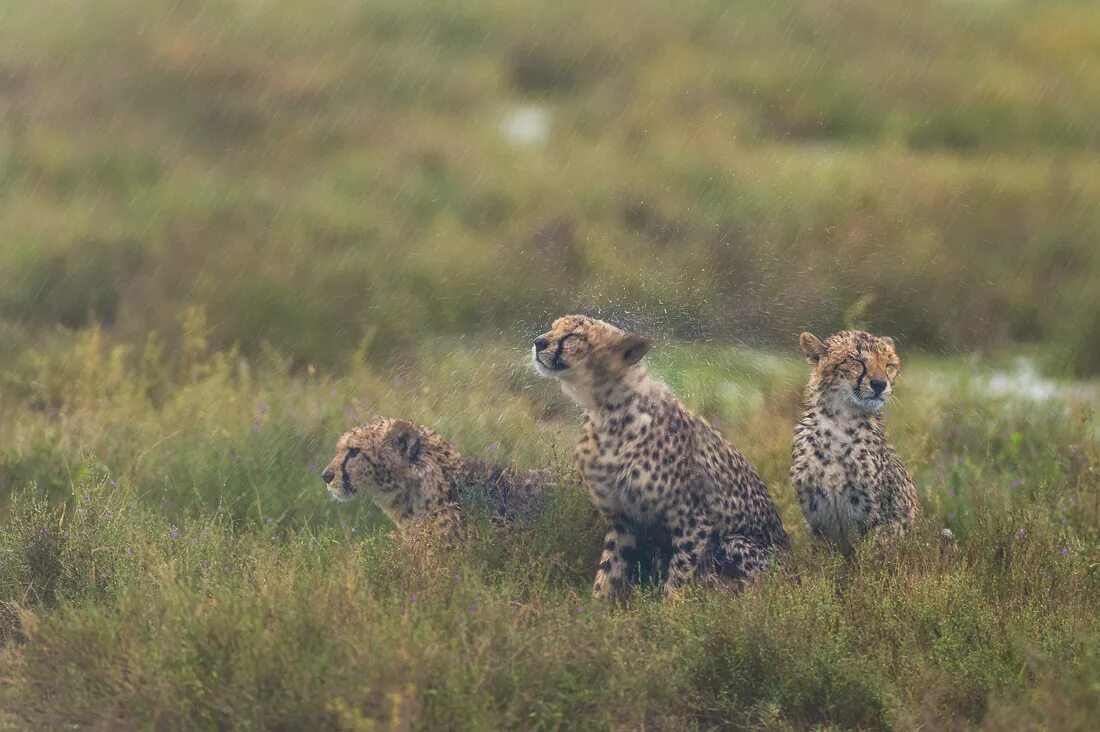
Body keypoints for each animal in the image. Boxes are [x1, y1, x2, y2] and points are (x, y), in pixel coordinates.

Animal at [532, 314, 792, 598]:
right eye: (553, 327)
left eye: (572, 336)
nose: (538, 342)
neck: (607, 412)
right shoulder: (622, 520)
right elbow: (608, 572)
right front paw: (596, 606)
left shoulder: (694, 522)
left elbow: (678, 580)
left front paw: (672, 609)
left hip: (735, 544)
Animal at [792, 328, 919, 550]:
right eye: (857, 361)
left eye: (889, 365)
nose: (879, 384)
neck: (839, 421)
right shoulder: (816, 519)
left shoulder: (879, 517)